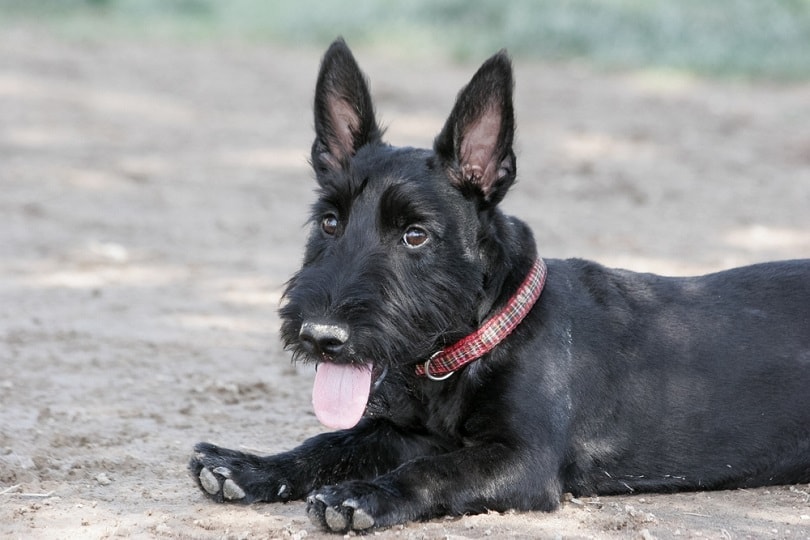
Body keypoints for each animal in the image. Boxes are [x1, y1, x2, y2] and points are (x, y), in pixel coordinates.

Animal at [188, 38, 808, 532]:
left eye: (415, 234)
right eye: (330, 222)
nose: (320, 337)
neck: (475, 342)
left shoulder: (521, 459)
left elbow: (434, 471)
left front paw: (364, 494)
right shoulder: (401, 430)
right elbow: (331, 441)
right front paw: (249, 466)